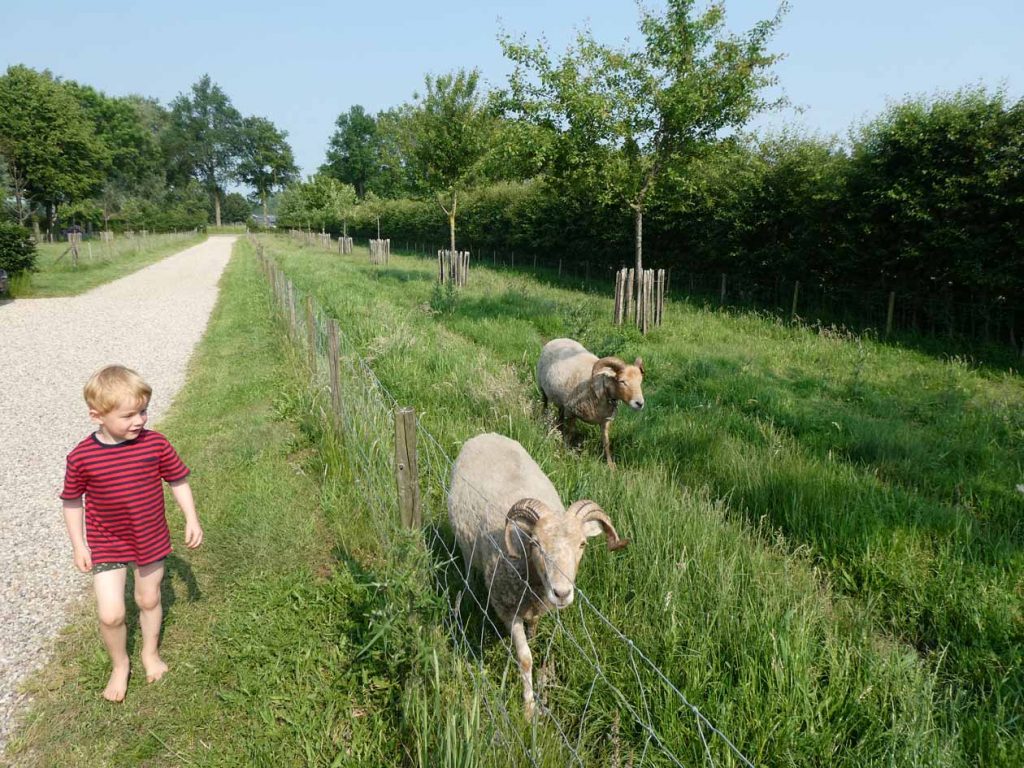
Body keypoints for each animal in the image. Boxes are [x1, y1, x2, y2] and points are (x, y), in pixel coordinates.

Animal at [450, 436, 630, 720]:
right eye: (535, 543)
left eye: (582, 544)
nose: (562, 593)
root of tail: (485, 434)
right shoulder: (507, 608)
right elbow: (525, 659)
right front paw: (528, 709)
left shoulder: (535, 606)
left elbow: (534, 628)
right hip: (466, 545)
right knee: (468, 568)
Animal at [540, 337, 643, 468]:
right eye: (622, 381)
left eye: (640, 381)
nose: (640, 403)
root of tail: (559, 338)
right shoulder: (571, 412)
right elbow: (570, 433)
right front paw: (566, 450)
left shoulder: (605, 421)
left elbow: (606, 442)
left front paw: (610, 465)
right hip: (543, 389)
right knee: (545, 405)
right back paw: (544, 421)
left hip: (561, 400)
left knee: (560, 413)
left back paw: (558, 427)